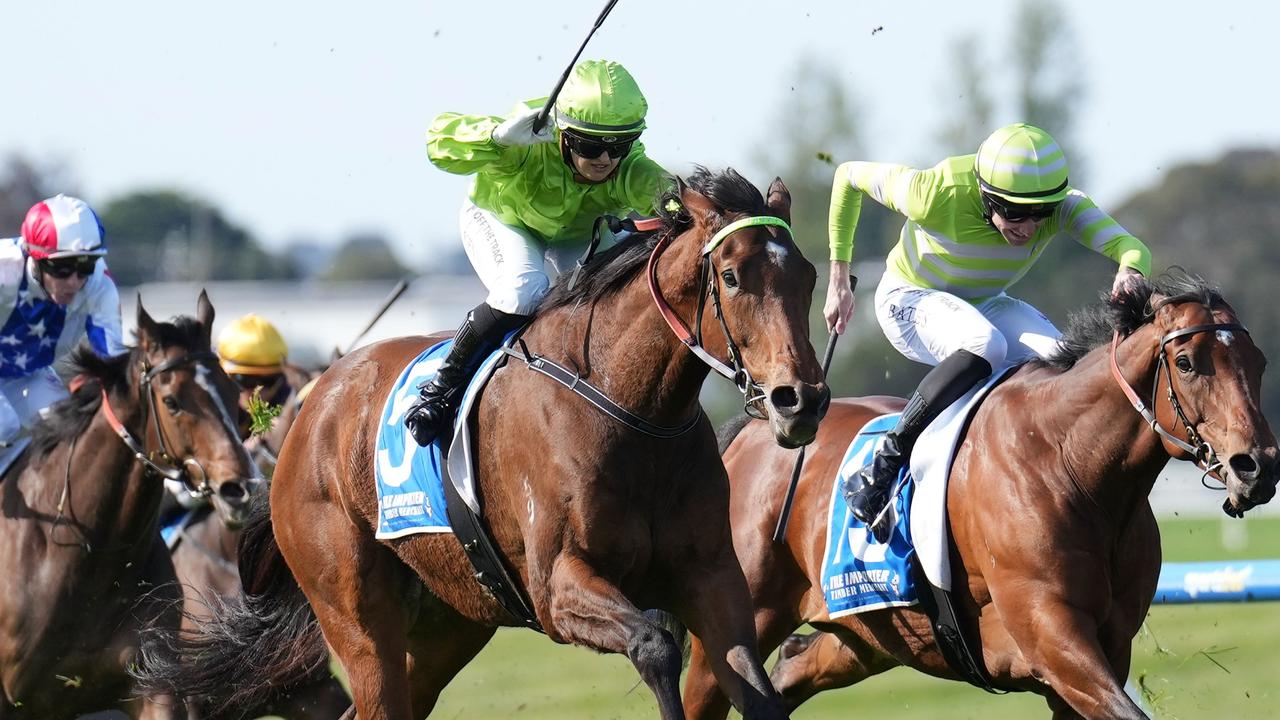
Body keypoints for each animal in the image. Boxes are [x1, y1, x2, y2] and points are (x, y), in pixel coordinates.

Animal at [132, 169, 829, 717]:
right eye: (732, 276)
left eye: (810, 276)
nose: (802, 399)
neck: (633, 412)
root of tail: (308, 410)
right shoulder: (557, 586)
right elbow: (655, 643)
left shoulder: (712, 576)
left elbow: (758, 688)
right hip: (356, 615)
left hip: (449, 621)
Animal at [686, 270, 1274, 717]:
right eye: (1187, 363)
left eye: (1259, 361)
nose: (1258, 466)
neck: (1070, 465)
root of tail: (756, 428)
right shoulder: (1054, 641)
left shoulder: (1106, 649)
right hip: (737, 621)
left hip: (868, 632)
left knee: (788, 675)